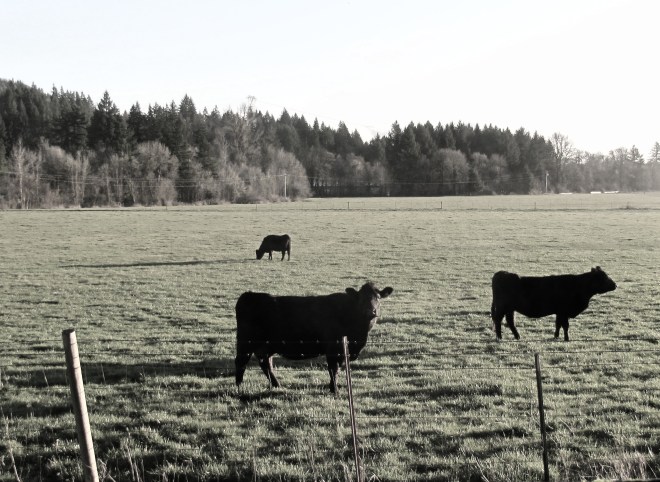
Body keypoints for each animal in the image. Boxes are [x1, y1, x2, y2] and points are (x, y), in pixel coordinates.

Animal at [235, 282, 394, 393]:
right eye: (360, 298)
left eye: (378, 297)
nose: (370, 311)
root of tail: (249, 295)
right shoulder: (333, 348)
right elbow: (333, 369)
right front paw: (334, 390)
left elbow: (337, 368)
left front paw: (332, 387)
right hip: (245, 342)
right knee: (241, 362)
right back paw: (239, 387)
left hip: (265, 345)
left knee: (265, 363)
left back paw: (277, 385)